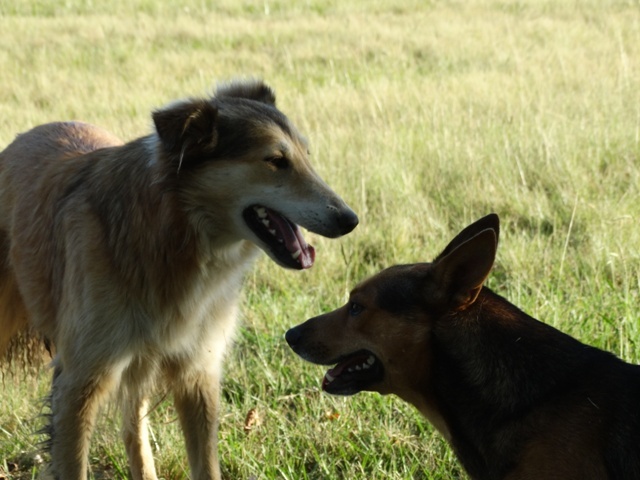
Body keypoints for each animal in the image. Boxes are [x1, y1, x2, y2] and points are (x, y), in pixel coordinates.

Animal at [0, 79, 360, 480]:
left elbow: (205, 465)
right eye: (275, 161)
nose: (350, 220)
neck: (175, 232)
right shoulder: (79, 383)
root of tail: (26, 136)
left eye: (306, 156)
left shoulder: (196, 373)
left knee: (134, 427)